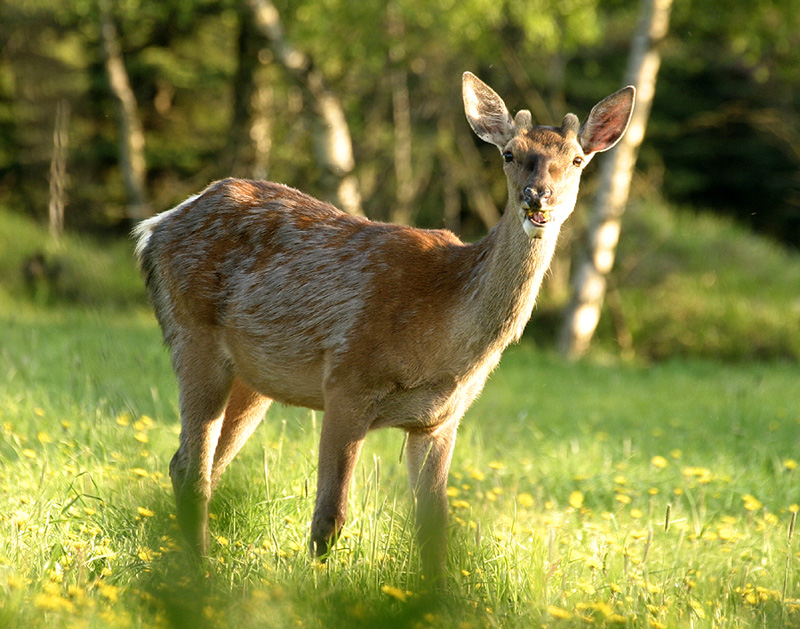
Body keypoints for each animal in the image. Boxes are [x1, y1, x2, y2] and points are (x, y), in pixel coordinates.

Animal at [134, 73, 636, 584]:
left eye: (577, 159)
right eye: (510, 154)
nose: (538, 196)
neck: (443, 336)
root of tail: (155, 227)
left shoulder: (441, 419)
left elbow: (433, 529)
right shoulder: (347, 382)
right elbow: (329, 518)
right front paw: (314, 590)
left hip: (255, 378)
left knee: (193, 464)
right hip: (192, 334)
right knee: (193, 469)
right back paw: (199, 575)